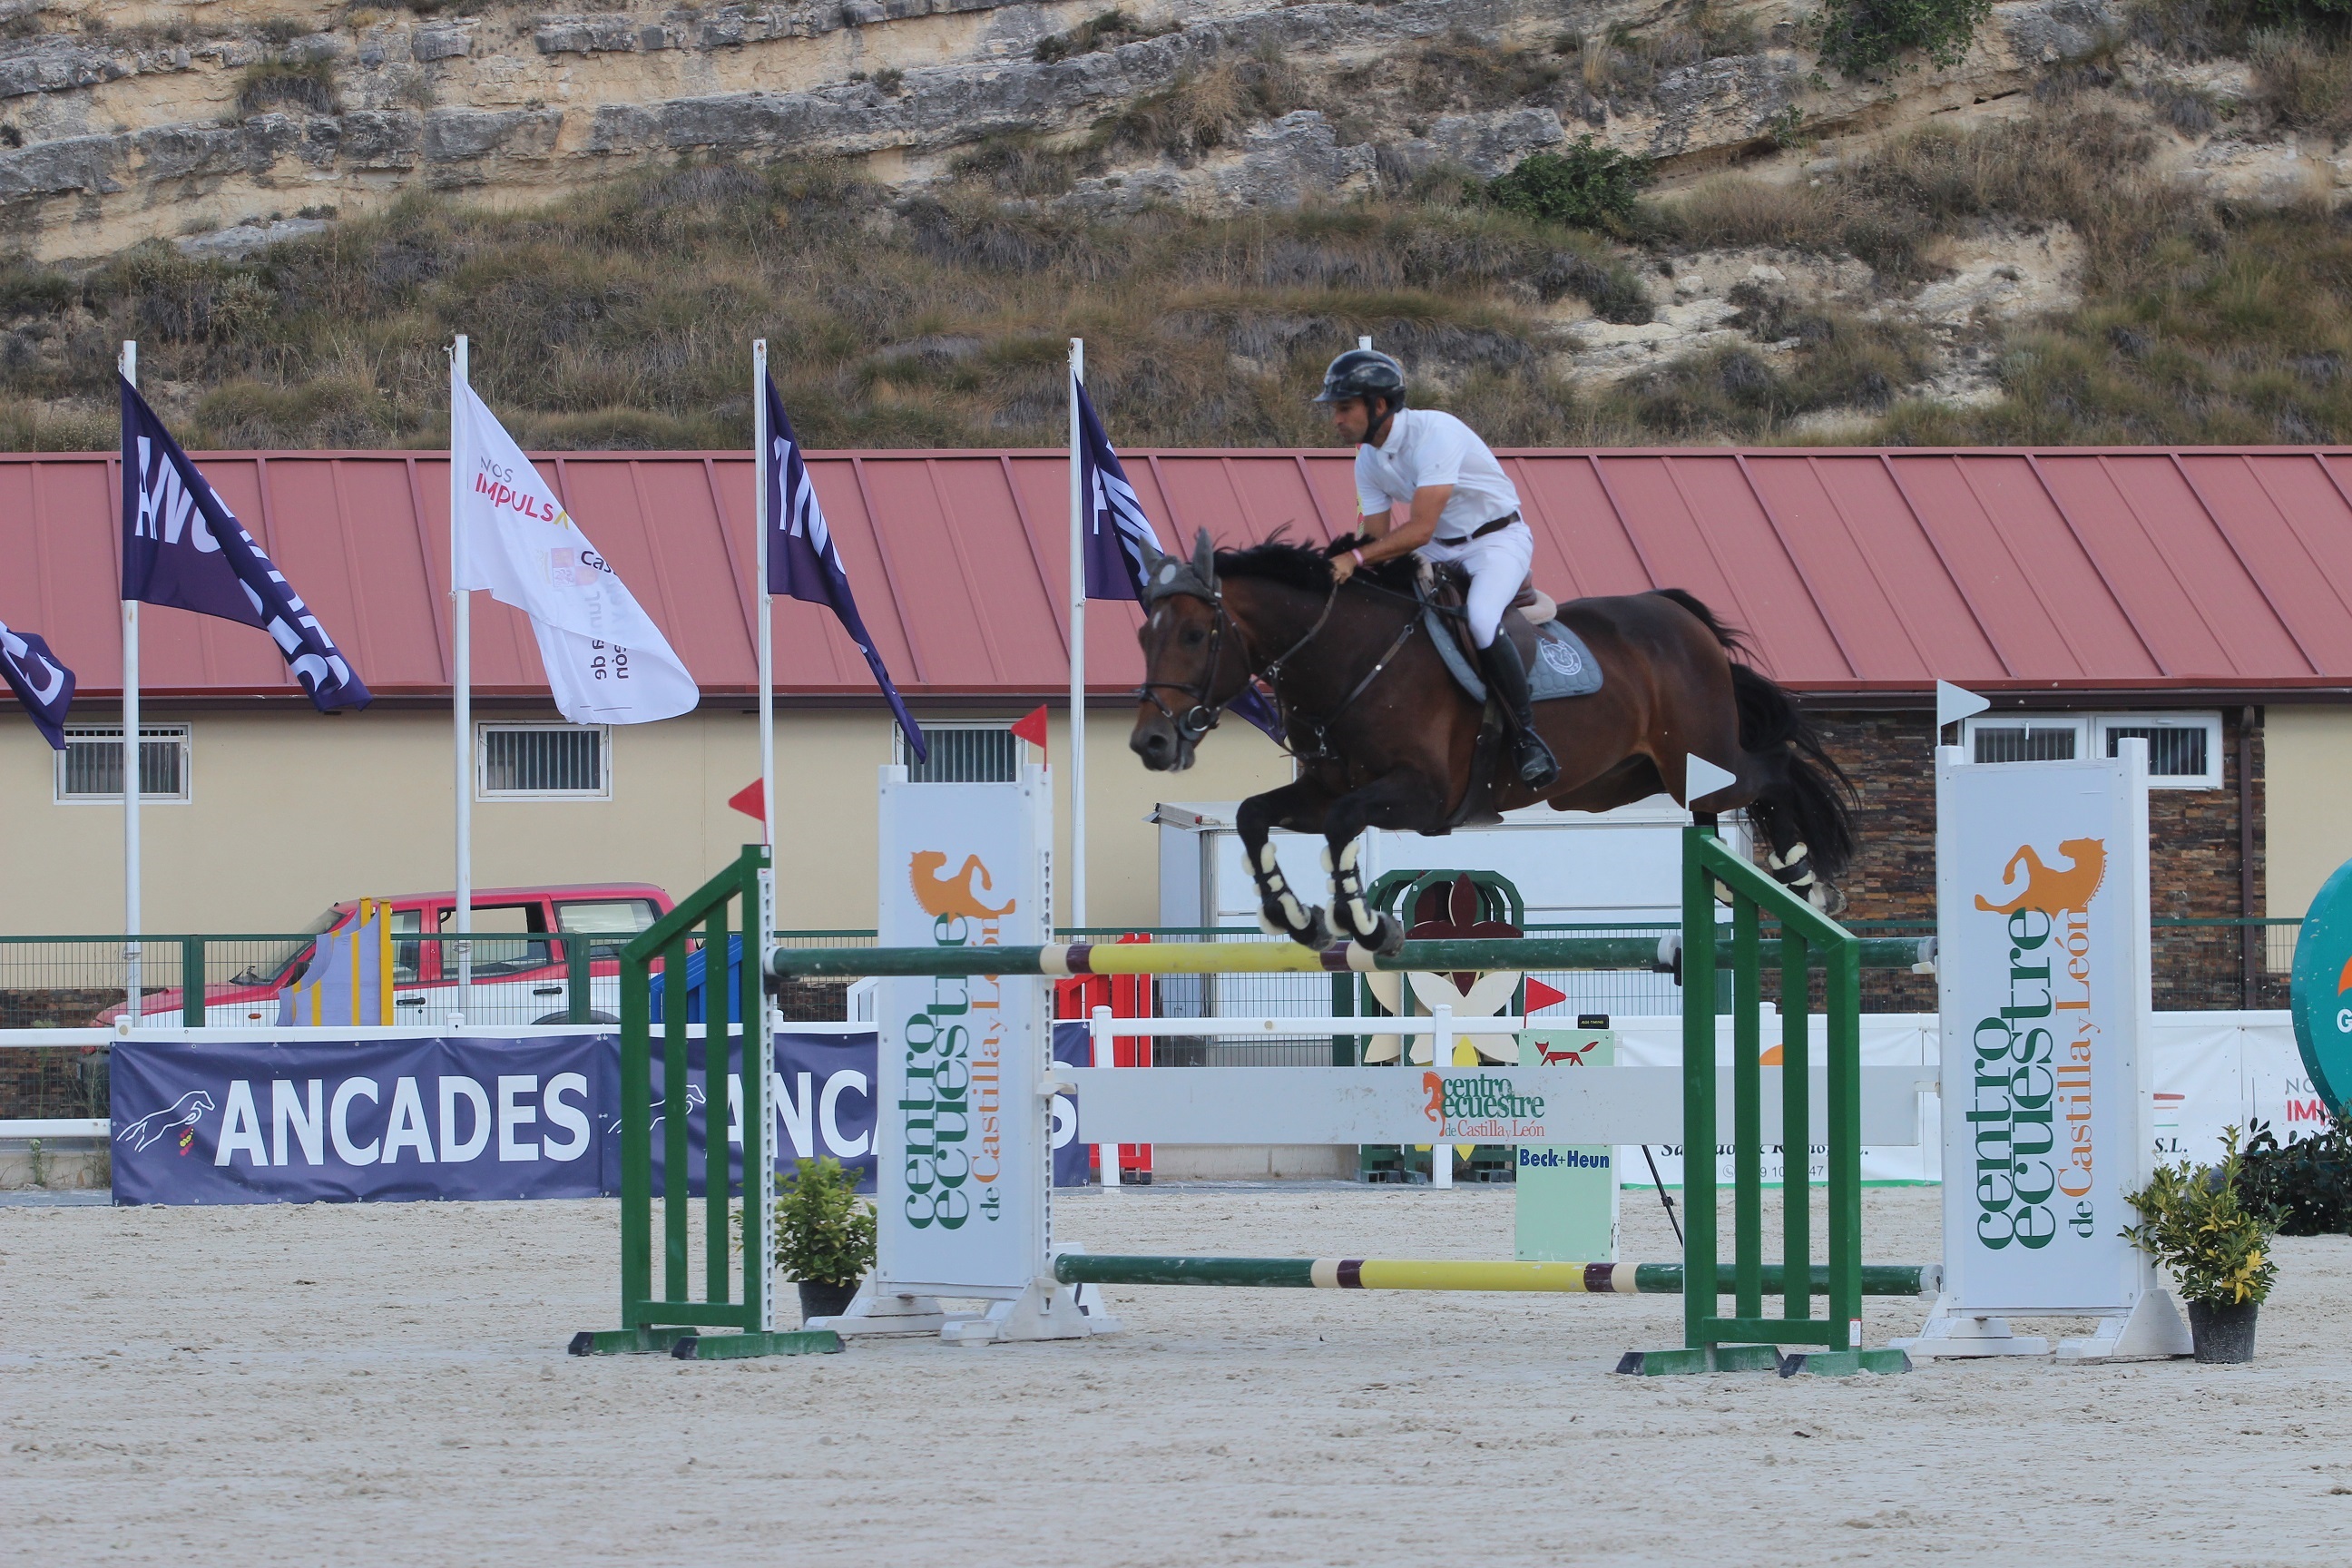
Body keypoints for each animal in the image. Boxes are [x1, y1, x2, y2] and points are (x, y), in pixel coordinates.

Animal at [1123, 531, 1853, 959]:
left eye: (1195, 635)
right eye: (1142, 635)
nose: (1151, 743)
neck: (1352, 657)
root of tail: (1679, 613)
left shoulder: (1422, 797)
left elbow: (1343, 823)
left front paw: (1365, 922)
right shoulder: (1323, 787)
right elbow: (1255, 815)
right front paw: (1297, 917)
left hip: (1698, 759)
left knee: (1773, 773)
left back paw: (1805, 884)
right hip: (1619, 781)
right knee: (1721, 803)